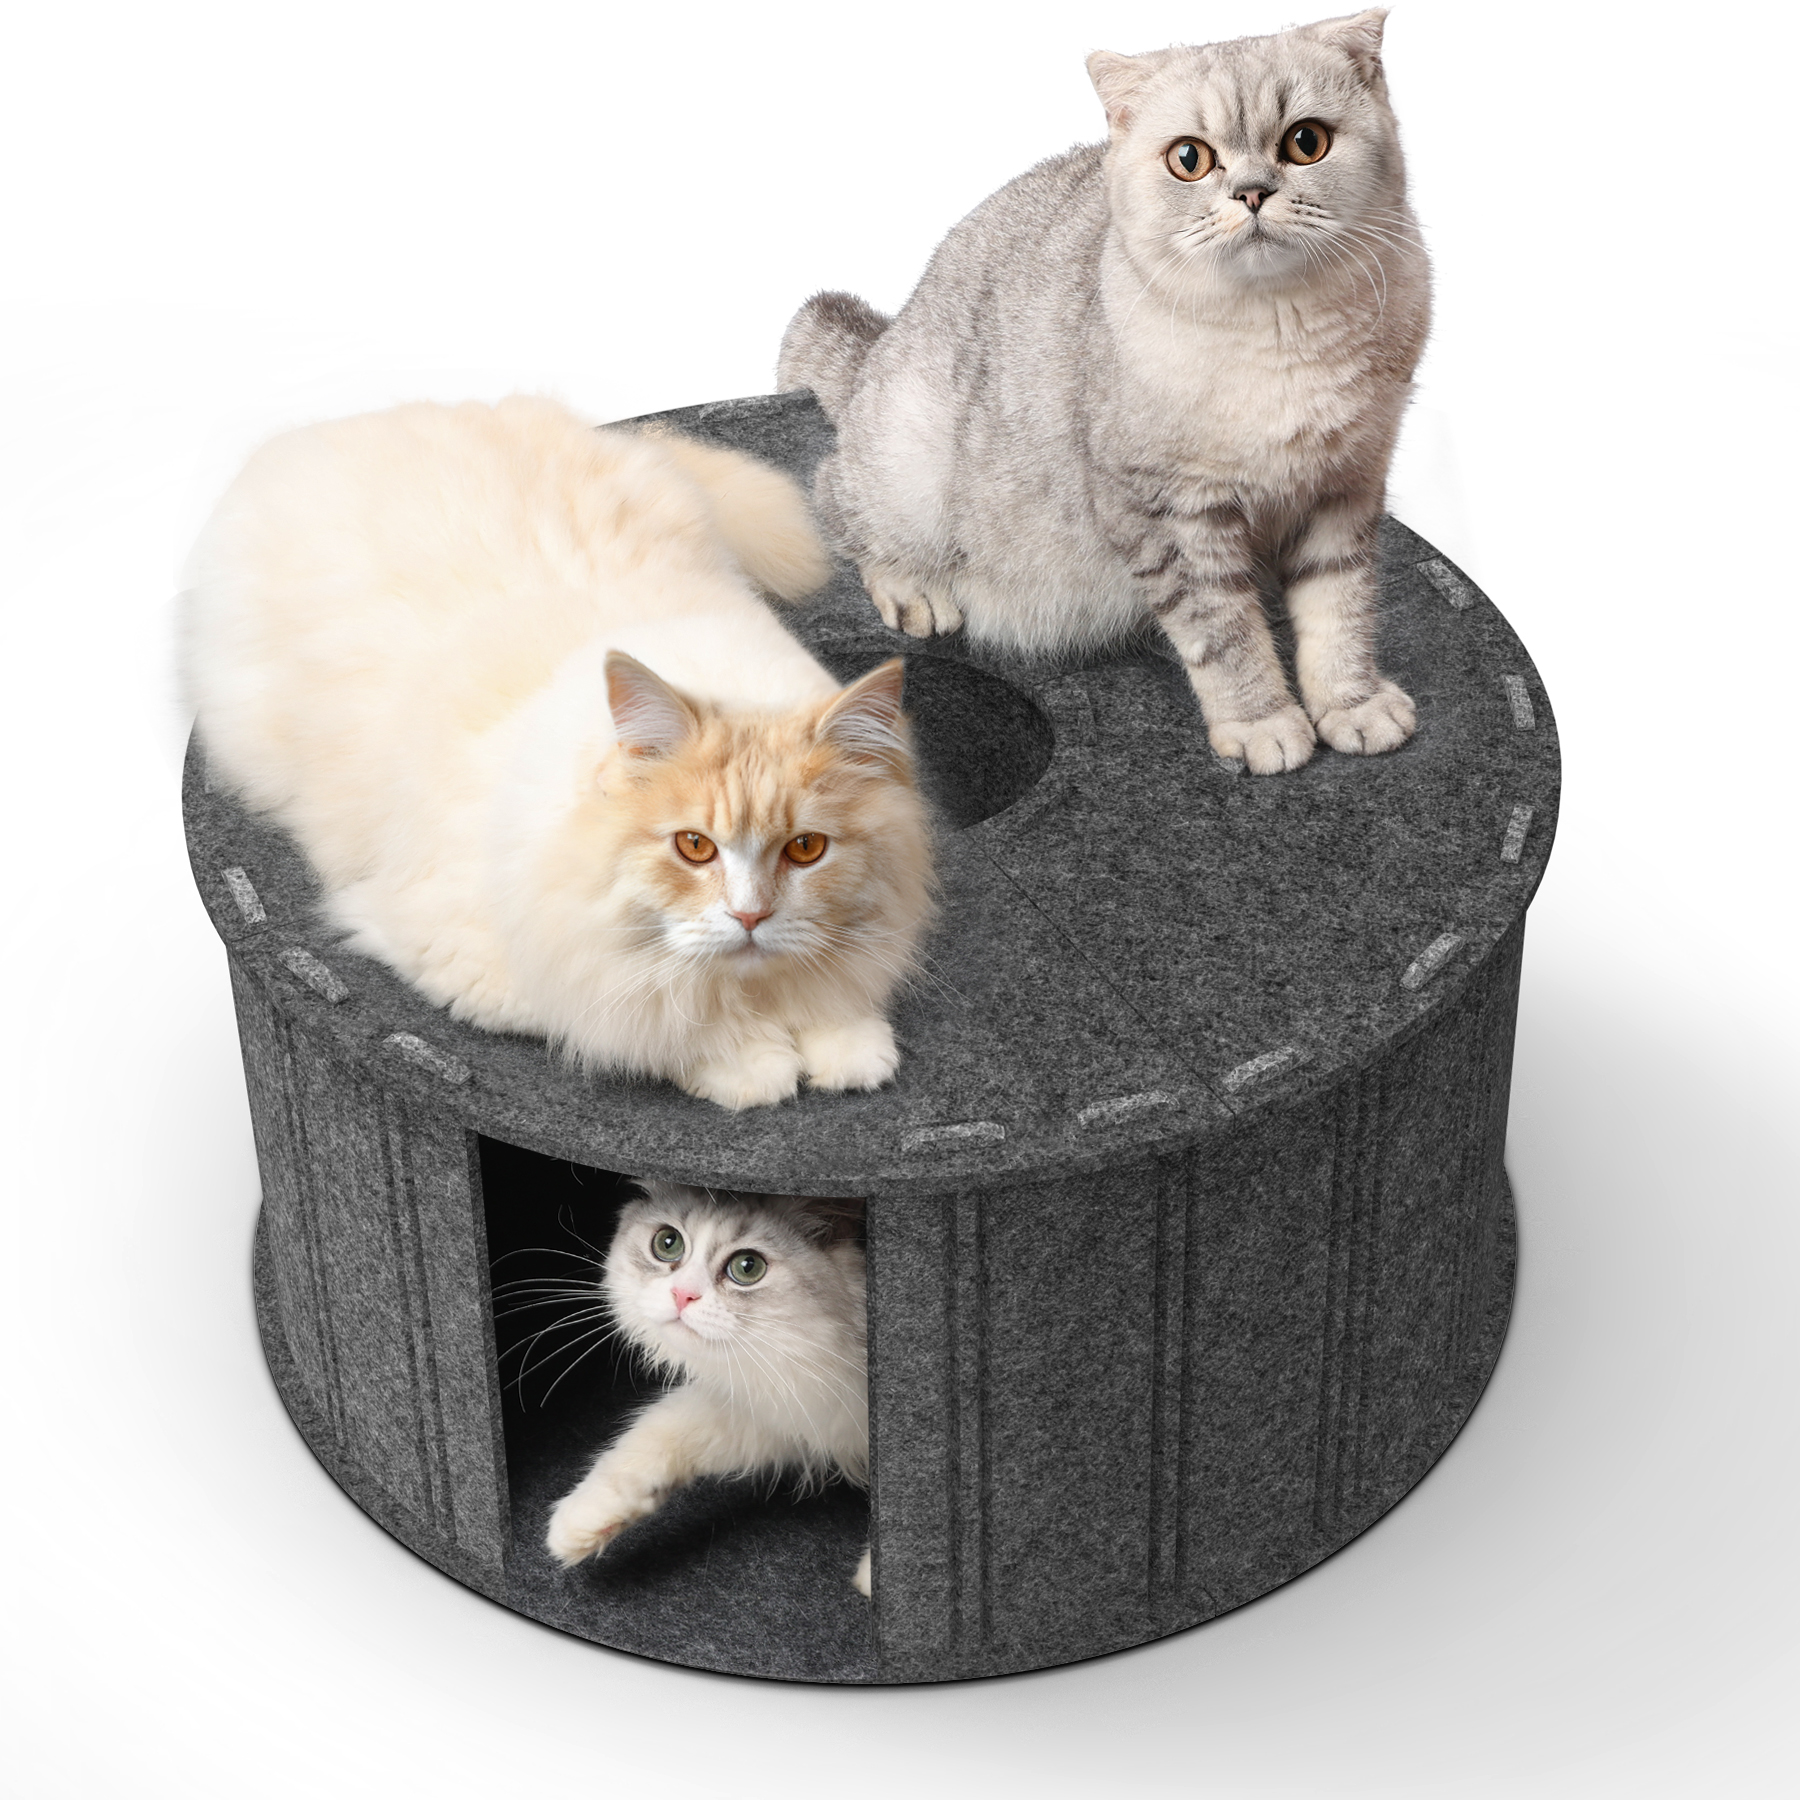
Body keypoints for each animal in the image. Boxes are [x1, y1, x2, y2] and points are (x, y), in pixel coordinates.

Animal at [183, 397, 934, 1109]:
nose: (751, 918)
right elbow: (660, 1019)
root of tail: (347, 423)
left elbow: (825, 992)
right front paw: (757, 1070)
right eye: (693, 847)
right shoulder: (495, 960)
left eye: (806, 849)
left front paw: (850, 1054)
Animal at [544, 1182, 872, 1595]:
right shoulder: (781, 1408)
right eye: (667, 1243)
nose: (682, 1295)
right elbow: (658, 1431)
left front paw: (873, 1578)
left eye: (748, 1267)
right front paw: (579, 1520)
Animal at [778, 9, 1429, 777]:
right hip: (909, 464)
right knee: (836, 498)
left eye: (1306, 143)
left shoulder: (1344, 486)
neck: (1279, 333)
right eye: (1190, 159)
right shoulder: (1169, 511)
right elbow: (1225, 635)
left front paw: (1352, 704)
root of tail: (882, 349)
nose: (1251, 192)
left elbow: (1340, 611)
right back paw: (914, 587)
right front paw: (1263, 723)